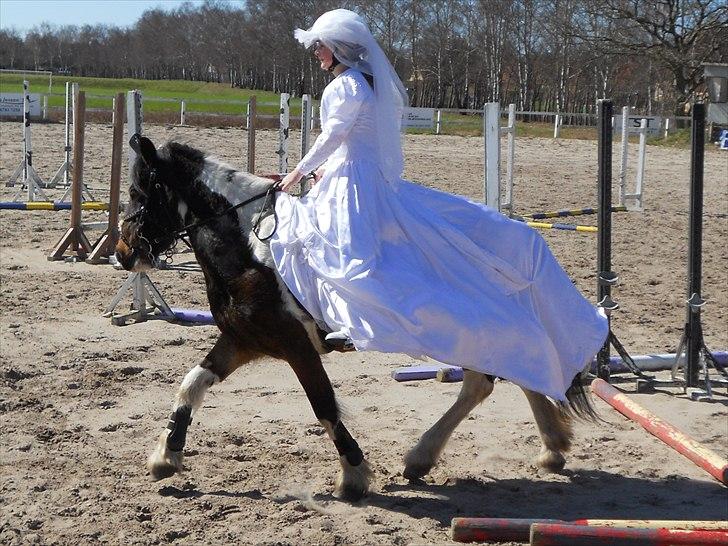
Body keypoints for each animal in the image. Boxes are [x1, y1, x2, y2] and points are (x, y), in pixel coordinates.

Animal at [116, 134, 596, 500]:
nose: (122, 253)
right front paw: (166, 457)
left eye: (139, 193)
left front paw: (353, 475)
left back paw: (435, 455)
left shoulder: (296, 345)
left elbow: (324, 406)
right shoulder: (243, 340)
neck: (247, 247)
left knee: (502, 374)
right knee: (508, 373)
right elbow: (191, 384)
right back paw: (541, 449)